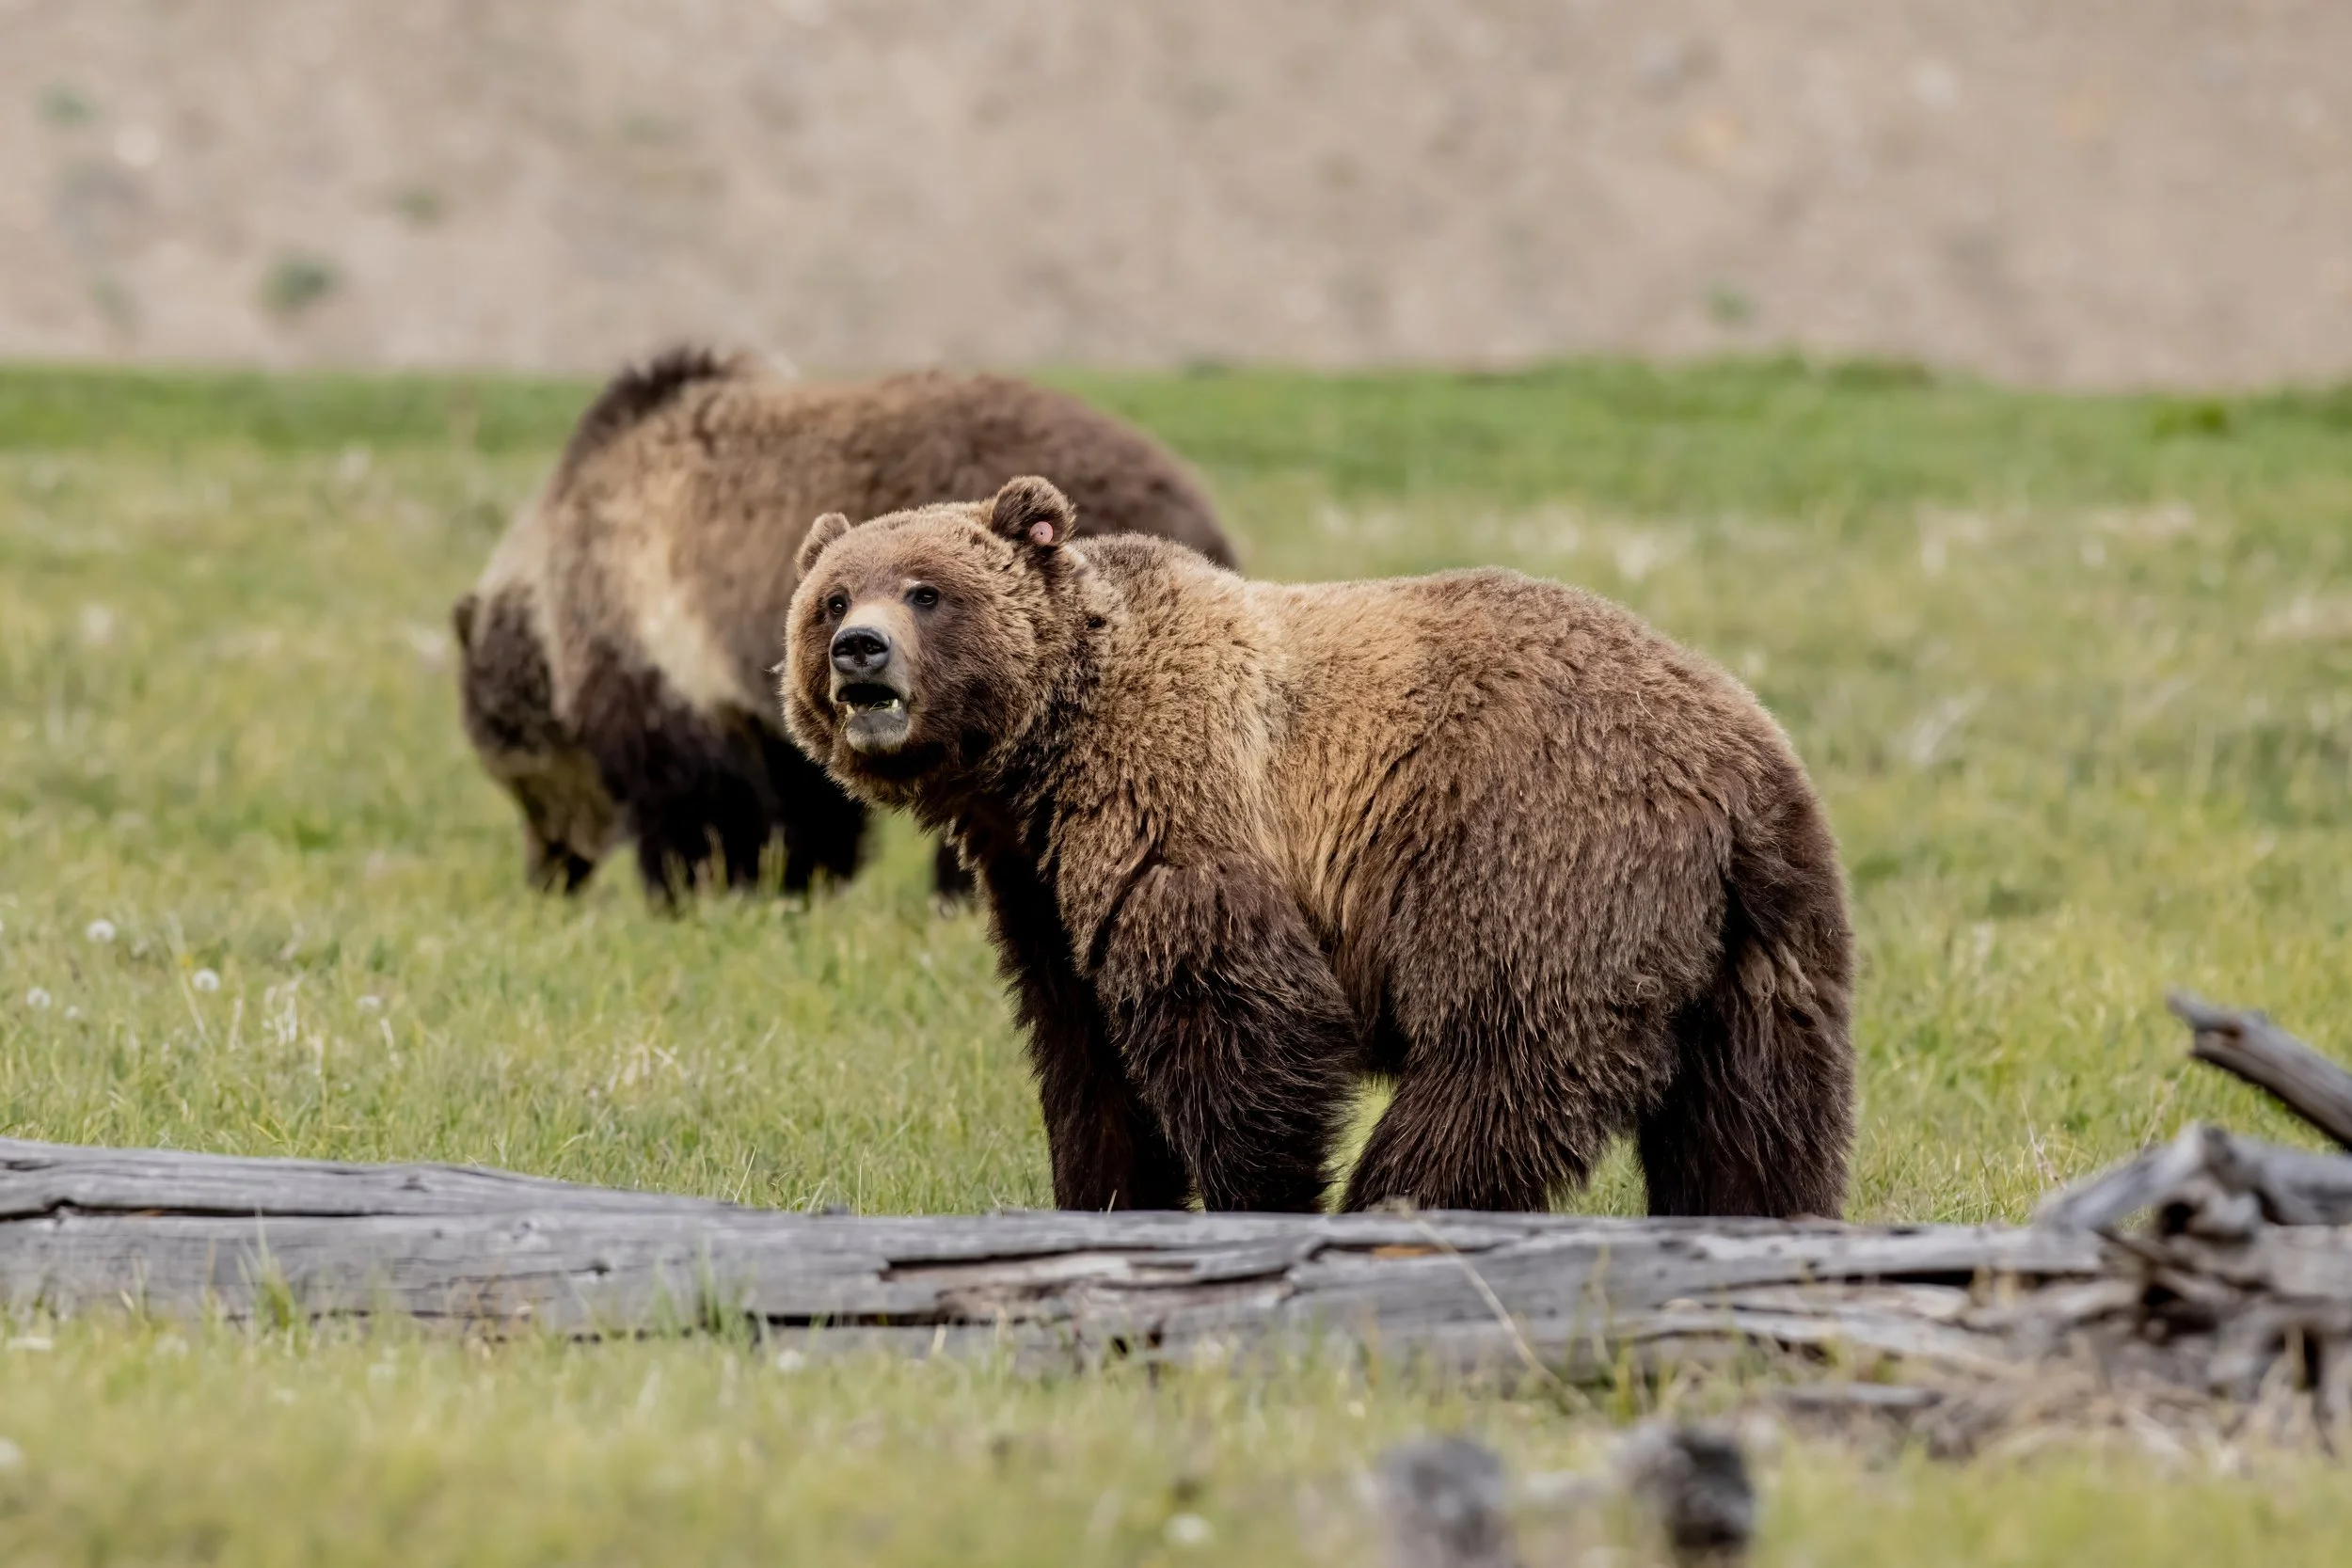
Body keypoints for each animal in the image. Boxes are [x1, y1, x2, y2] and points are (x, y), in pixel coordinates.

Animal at [452, 347, 1236, 904]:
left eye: (518, 782)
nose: (550, 873)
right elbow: (805, 792)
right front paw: (798, 880)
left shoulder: (658, 644)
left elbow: (694, 790)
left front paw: (698, 883)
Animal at [781, 477, 1855, 1217]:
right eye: (833, 595)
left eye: (926, 590)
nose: (859, 649)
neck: (1042, 760)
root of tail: (1742, 763)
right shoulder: (1036, 889)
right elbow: (1085, 1060)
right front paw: (1106, 1193)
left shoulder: (1177, 797)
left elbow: (1237, 1011)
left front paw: (1254, 1193)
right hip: (1763, 939)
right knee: (1757, 1108)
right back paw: (1761, 1215)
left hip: (1539, 849)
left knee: (1504, 1057)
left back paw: (1396, 1196)